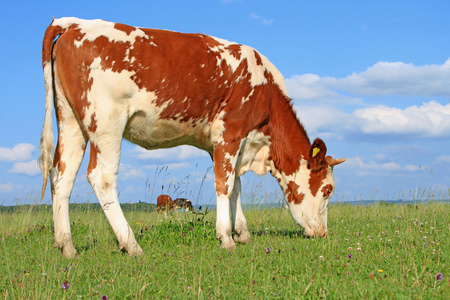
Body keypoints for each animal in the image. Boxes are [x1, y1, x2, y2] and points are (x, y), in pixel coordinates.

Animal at [38, 17, 346, 258]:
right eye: (328, 190)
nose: (322, 233)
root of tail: (73, 24)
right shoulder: (230, 132)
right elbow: (224, 185)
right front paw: (226, 238)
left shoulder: (224, 144)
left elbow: (236, 187)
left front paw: (242, 232)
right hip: (106, 123)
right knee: (101, 177)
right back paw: (131, 244)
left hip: (71, 121)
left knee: (62, 176)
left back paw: (67, 246)